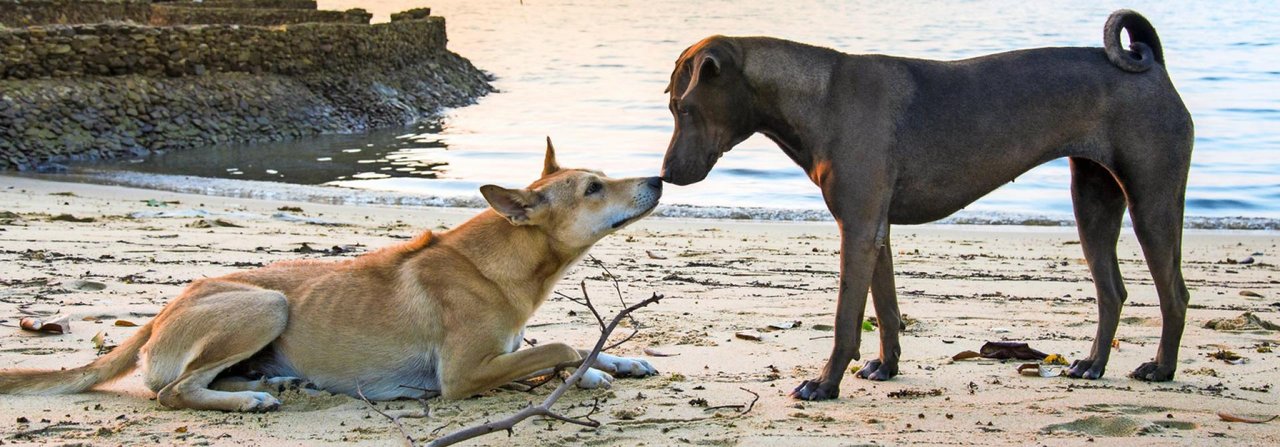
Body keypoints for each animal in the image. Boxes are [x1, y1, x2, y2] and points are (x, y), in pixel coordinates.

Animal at [0, 137, 660, 409]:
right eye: (594, 188)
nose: (658, 178)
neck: (498, 265)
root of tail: (161, 312)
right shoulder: (463, 375)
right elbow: (562, 345)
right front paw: (589, 370)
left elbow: (572, 346)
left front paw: (619, 361)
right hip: (267, 304)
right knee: (170, 391)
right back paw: (250, 400)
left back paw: (279, 383)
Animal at [665, 11, 1192, 399]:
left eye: (684, 108)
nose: (666, 174)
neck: (821, 96)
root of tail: (1155, 69)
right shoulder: (875, 229)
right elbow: (885, 308)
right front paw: (886, 365)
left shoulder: (858, 228)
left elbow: (845, 320)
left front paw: (825, 384)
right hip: (1093, 203)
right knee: (1111, 291)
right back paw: (1094, 364)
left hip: (1152, 203)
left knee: (1174, 294)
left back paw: (1161, 367)